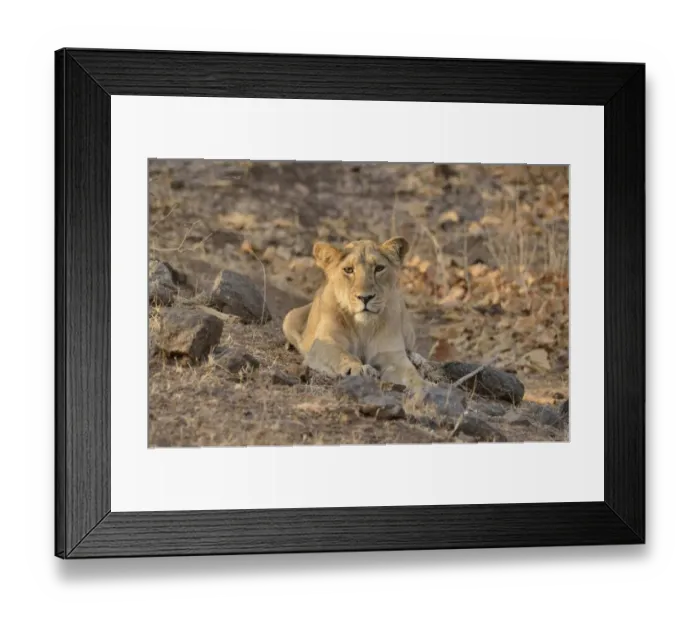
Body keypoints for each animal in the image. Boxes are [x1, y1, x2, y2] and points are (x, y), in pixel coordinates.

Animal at [282, 236, 428, 390]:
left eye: (379, 268)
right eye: (348, 270)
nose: (365, 297)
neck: (363, 327)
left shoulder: (391, 354)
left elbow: (410, 374)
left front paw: (424, 386)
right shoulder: (324, 342)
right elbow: (342, 355)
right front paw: (359, 369)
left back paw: (418, 360)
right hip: (290, 318)